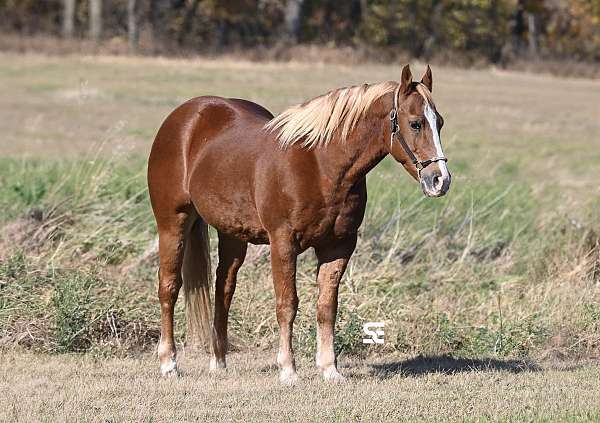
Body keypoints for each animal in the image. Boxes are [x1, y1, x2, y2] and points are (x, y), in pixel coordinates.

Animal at [148, 63, 452, 384]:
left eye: (440, 123)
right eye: (416, 124)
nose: (440, 180)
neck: (321, 165)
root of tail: (187, 114)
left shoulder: (338, 246)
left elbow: (327, 306)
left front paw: (330, 369)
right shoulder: (283, 242)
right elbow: (287, 304)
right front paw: (288, 369)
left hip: (232, 234)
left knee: (223, 288)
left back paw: (218, 362)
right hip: (172, 223)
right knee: (169, 286)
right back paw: (169, 363)